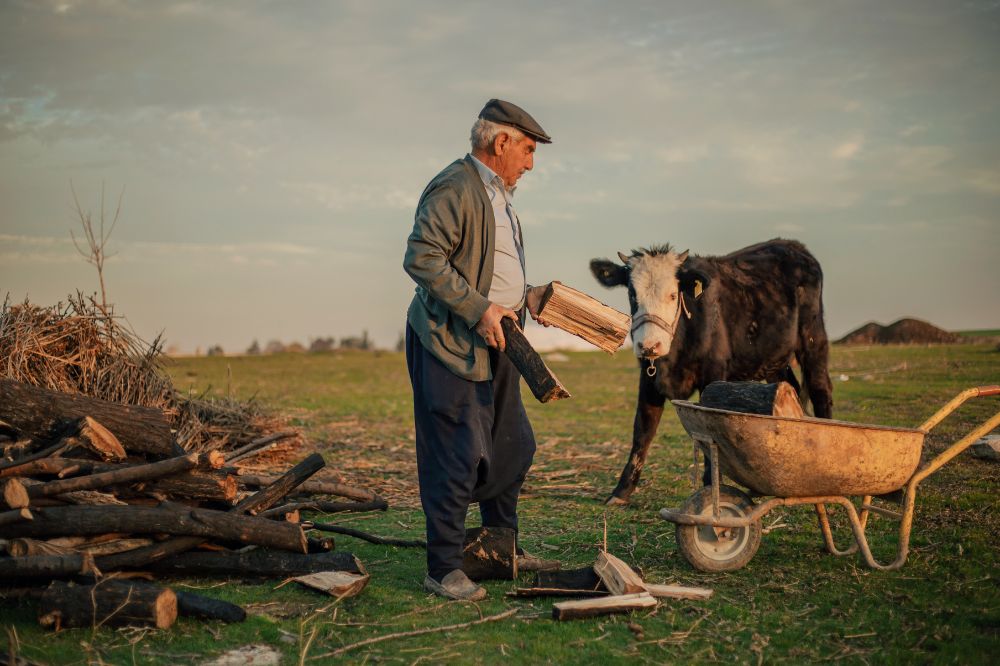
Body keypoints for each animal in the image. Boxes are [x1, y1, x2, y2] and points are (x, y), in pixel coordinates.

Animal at [588, 239, 832, 504]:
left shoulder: (713, 374)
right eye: (633, 294)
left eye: (673, 294)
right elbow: (643, 430)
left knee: (821, 389)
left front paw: (710, 485)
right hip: (774, 359)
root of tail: (793, 245)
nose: (650, 345)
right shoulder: (649, 378)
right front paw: (621, 491)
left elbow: (708, 427)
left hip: (813, 338)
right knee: (790, 390)